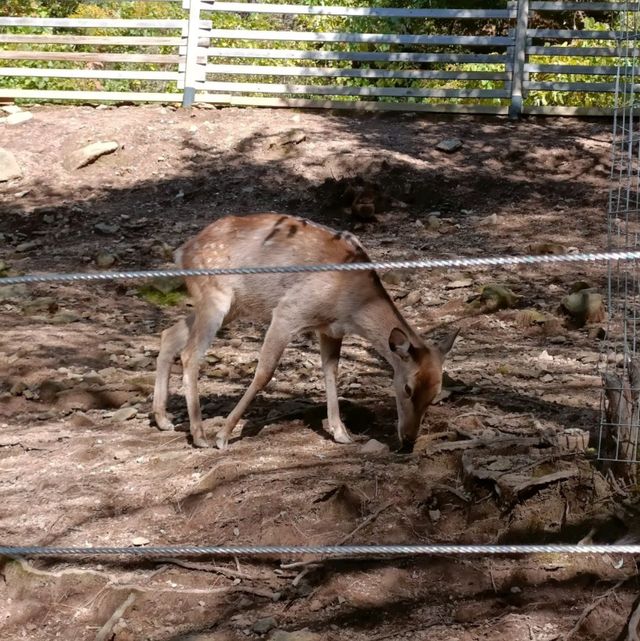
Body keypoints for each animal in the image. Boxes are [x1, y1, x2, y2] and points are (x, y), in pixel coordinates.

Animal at [152, 212, 458, 448]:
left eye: (436, 393)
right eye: (407, 388)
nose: (408, 439)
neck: (349, 303)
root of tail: (181, 253)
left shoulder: (331, 329)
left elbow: (331, 371)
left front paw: (341, 433)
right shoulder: (288, 312)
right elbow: (264, 373)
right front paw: (224, 435)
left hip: (230, 306)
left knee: (170, 334)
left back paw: (163, 419)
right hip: (215, 294)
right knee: (190, 353)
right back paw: (200, 435)